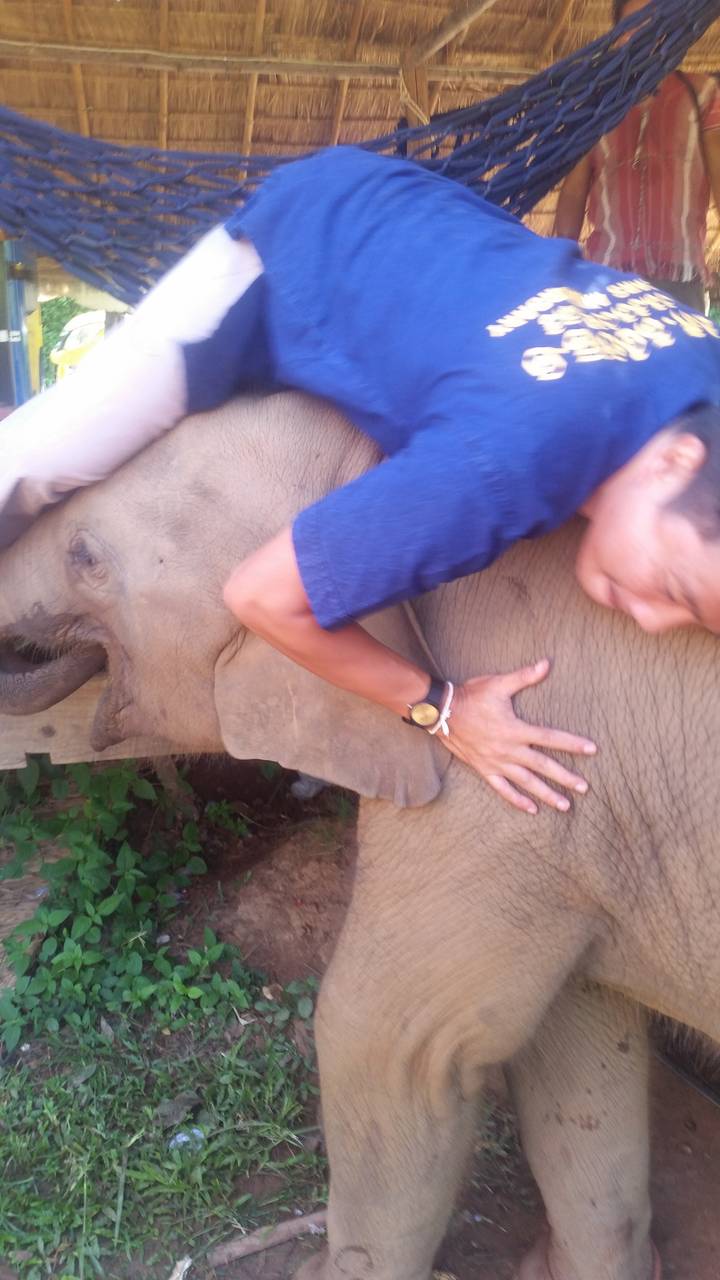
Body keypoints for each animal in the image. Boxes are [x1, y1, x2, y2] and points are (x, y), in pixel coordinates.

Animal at [0, 388, 716, 1280]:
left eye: (85, 556)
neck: (372, 465)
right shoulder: (568, 822)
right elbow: (581, 1040)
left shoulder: (500, 799)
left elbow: (387, 1045)